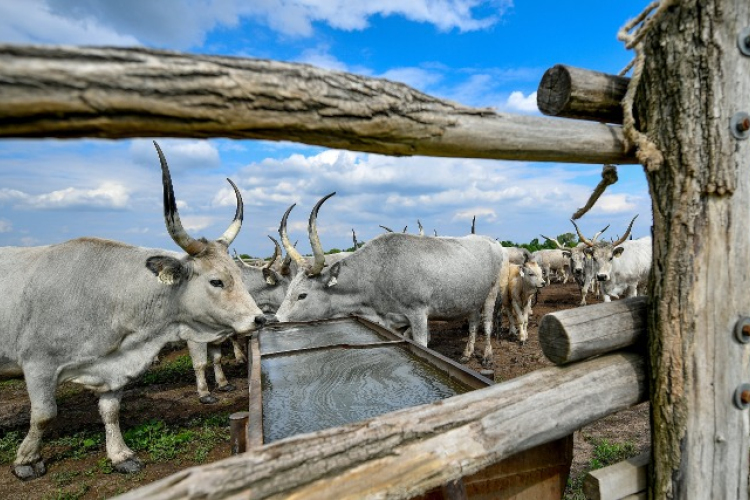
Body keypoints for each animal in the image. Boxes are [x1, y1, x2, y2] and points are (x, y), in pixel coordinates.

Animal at [0, 142, 266, 480]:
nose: (259, 319)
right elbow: (44, 414)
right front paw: (26, 460)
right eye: (216, 280)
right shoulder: (38, 364)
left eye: (239, 276)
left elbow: (111, 411)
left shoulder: (113, 368)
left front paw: (120, 455)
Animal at [274, 194, 508, 368]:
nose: (276, 320)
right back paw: (467, 353)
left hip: (491, 293)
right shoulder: (391, 320)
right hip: (472, 299)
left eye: (302, 295)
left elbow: (422, 342)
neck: (378, 272)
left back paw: (487, 357)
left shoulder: (418, 313)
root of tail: (492, 242)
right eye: (289, 289)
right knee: (473, 322)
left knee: (486, 323)